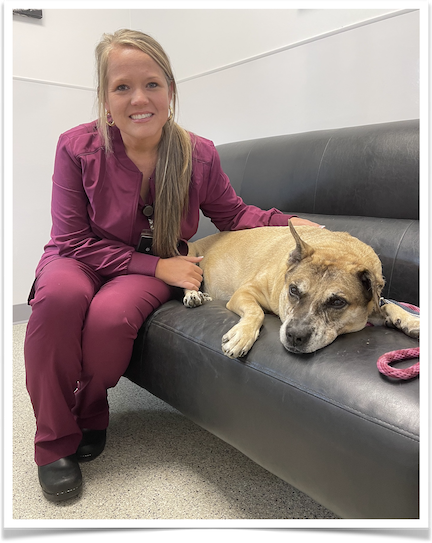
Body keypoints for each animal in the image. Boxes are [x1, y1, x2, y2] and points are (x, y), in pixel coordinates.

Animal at [184, 221, 420, 356]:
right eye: (294, 290)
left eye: (337, 302)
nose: (295, 337)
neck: (337, 250)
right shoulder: (245, 292)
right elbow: (256, 311)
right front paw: (241, 336)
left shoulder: (373, 301)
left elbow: (389, 305)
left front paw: (410, 320)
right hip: (191, 257)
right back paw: (194, 294)